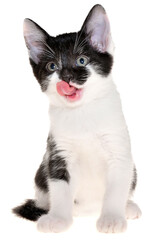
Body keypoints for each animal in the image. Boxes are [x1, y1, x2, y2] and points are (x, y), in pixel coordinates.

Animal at [13, 3, 142, 232]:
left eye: (82, 60)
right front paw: (58, 218)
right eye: (52, 66)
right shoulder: (57, 152)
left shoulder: (119, 149)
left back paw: (128, 206)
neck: (81, 112)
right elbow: (59, 186)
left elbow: (117, 186)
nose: (66, 78)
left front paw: (112, 218)